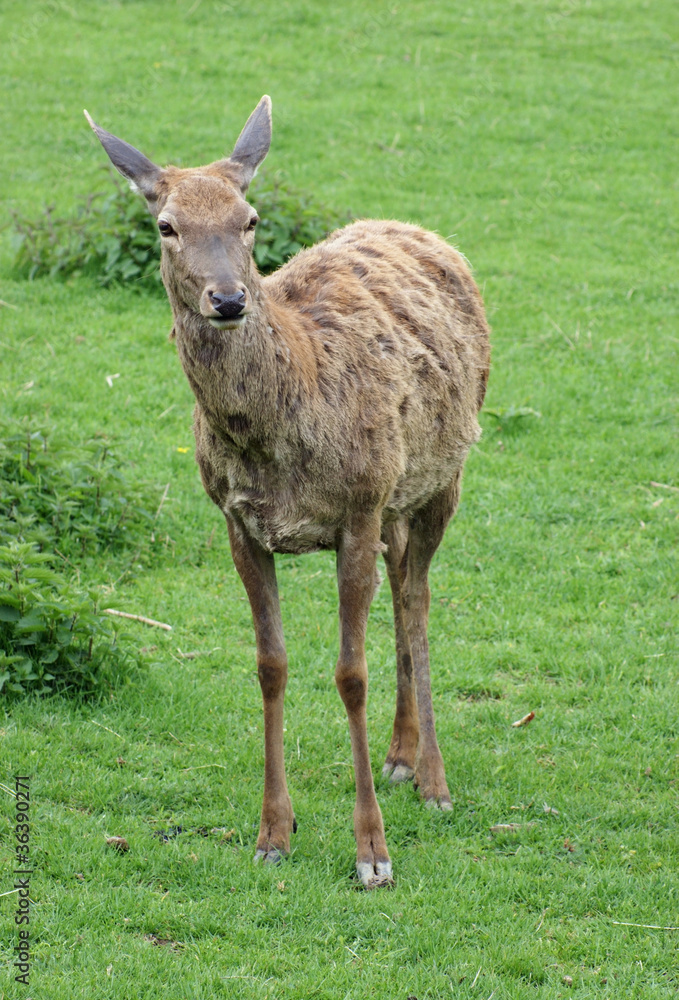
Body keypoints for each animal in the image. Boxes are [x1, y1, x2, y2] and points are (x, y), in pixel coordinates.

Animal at [86, 95, 488, 892]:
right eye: (165, 224)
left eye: (249, 219)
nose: (228, 298)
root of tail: (416, 228)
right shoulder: (240, 523)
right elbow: (270, 667)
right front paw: (273, 832)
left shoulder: (357, 507)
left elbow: (350, 673)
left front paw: (372, 853)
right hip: (396, 497)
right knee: (403, 583)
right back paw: (399, 756)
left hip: (440, 476)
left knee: (418, 598)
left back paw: (432, 778)